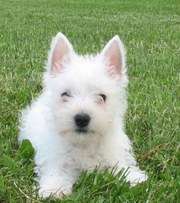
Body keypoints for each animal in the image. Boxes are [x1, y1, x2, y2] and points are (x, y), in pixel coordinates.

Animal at [19, 32, 147, 197]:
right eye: (65, 94)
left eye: (102, 97)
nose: (81, 119)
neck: (84, 143)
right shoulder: (57, 158)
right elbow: (56, 173)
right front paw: (53, 189)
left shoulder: (112, 155)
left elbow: (121, 167)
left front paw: (134, 179)